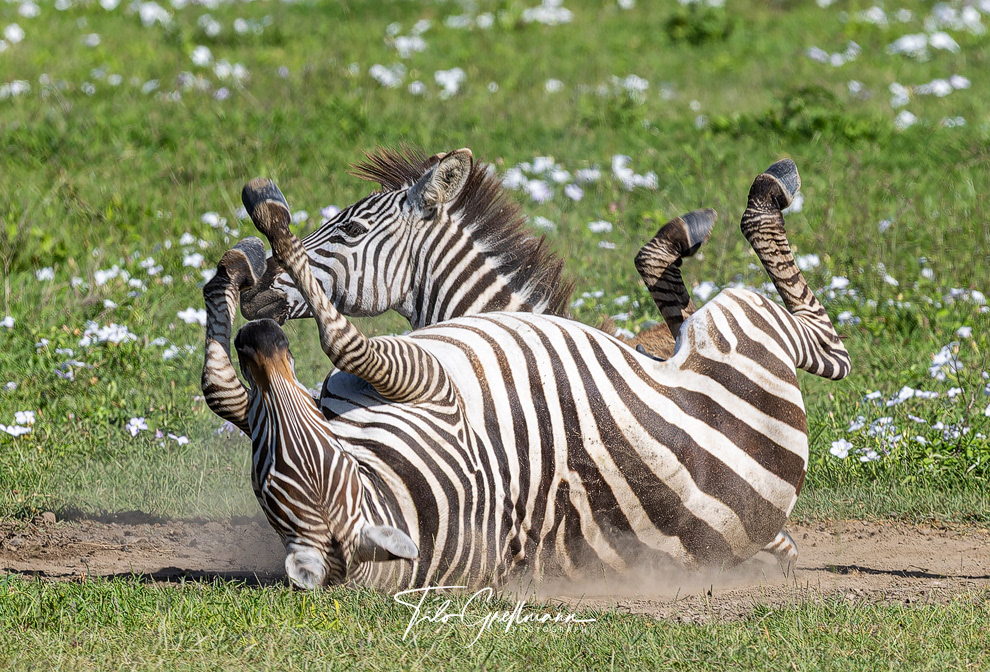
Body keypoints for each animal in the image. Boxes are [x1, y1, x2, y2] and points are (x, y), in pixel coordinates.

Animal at [202, 159, 849, 589]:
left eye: (351, 230)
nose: (259, 294)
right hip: (742, 323)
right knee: (823, 347)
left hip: (738, 320)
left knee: (824, 348)